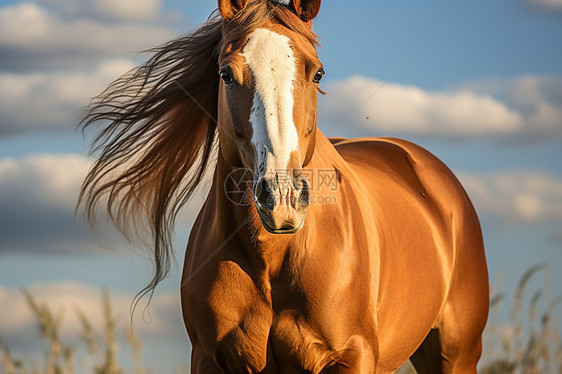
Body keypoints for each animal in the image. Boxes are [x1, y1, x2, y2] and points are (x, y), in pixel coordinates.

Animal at [79, 0, 486, 372]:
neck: (272, 258)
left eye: (317, 73)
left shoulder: (351, 355)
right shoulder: (209, 358)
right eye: (226, 74)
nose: (282, 198)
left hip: (456, 353)